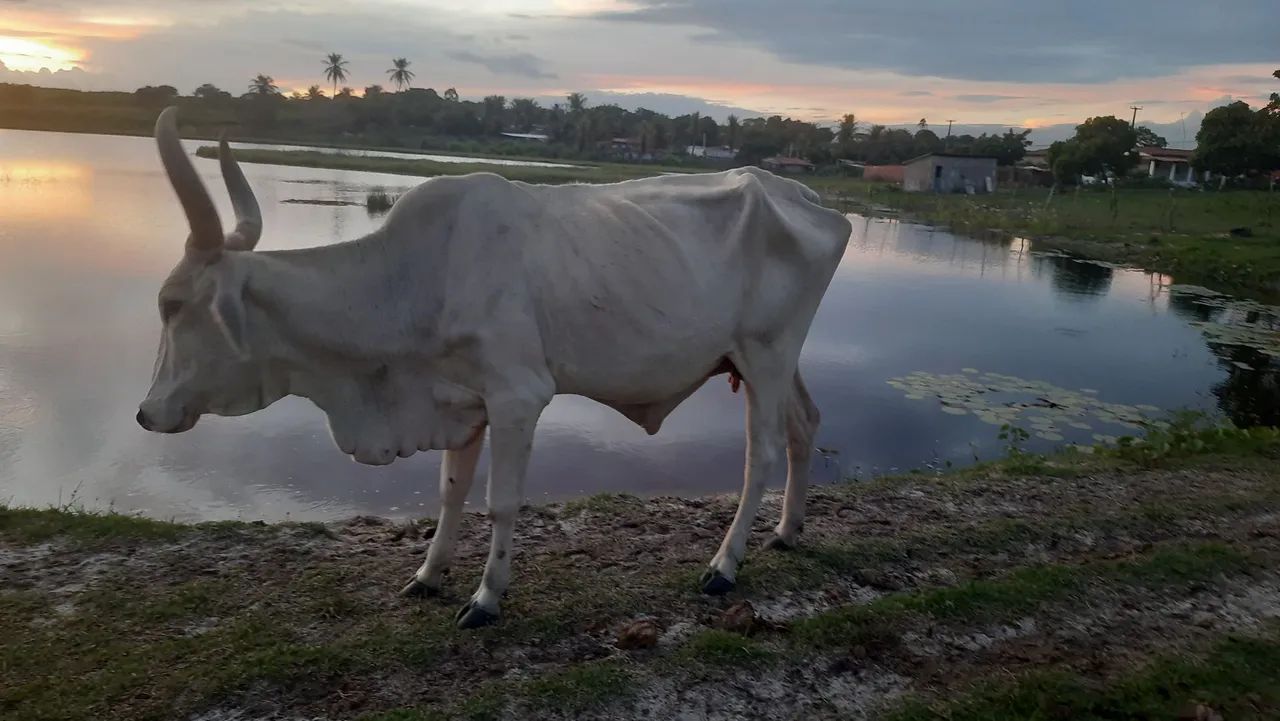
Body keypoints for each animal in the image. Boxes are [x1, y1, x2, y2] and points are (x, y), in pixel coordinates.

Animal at [136, 107, 852, 628]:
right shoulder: (462, 402)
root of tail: (805, 194)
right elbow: (451, 494)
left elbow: (499, 501)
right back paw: (788, 533)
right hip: (770, 361)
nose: (145, 413)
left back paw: (723, 567)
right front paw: (427, 576)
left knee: (760, 454)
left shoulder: (517, 399)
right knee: (806, 424)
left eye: (172, 305)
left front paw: (485, 599)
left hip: (766, 355)